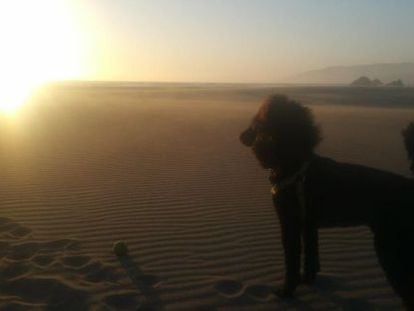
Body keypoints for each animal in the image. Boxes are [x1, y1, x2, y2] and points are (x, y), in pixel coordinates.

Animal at [241, 94, 414, 310]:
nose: (240, 136)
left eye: (257, 124)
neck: (295, 165)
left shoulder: (290, 223)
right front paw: (307, 281)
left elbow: (291, 262)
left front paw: (286, 292)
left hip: (391, 246)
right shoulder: (308, 225)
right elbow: (311, 258)